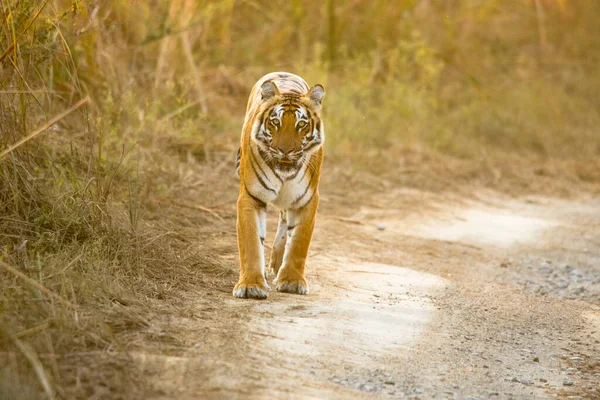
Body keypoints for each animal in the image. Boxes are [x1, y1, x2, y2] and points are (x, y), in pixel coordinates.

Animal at [233, 70, 326, 298]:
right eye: (275, 122)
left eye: (301, 124)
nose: (285, 150)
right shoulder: (251, 196)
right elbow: (251, 242)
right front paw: (251, 285)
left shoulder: (307, 200)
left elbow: (299, 242)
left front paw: (292, 281)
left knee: (285, 220)